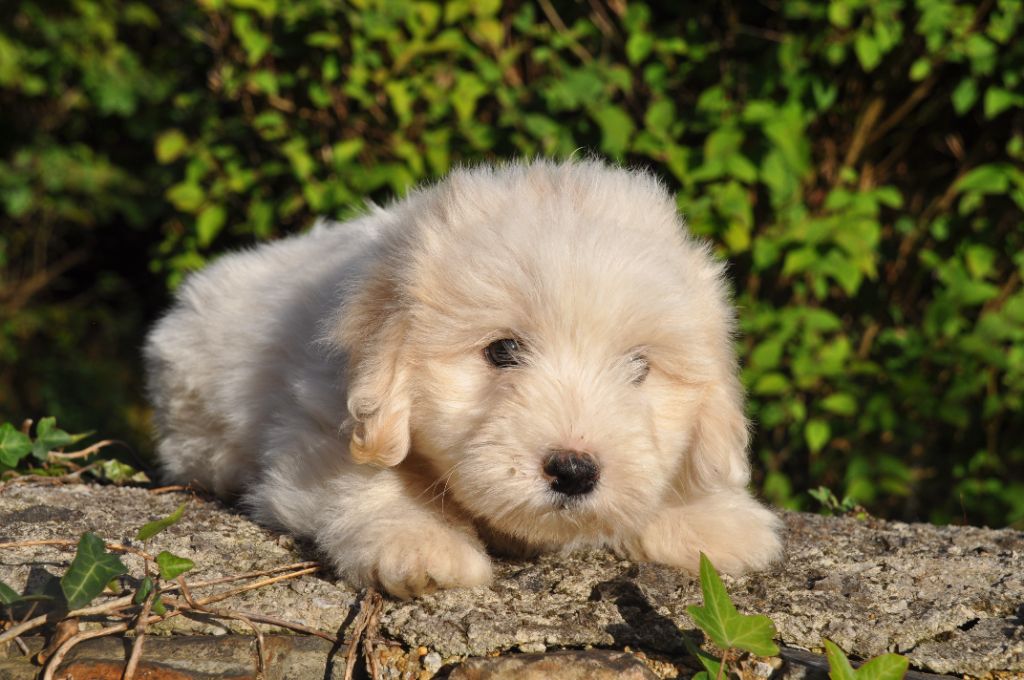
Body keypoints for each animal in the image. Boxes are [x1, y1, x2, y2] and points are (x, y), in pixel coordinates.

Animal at [145, 159, 782, 598]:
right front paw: (422, 545)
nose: (574, 472)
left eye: (639, 368)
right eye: (502, 350)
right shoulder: (320, 426)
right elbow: (367, 483)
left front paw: (713, 519)